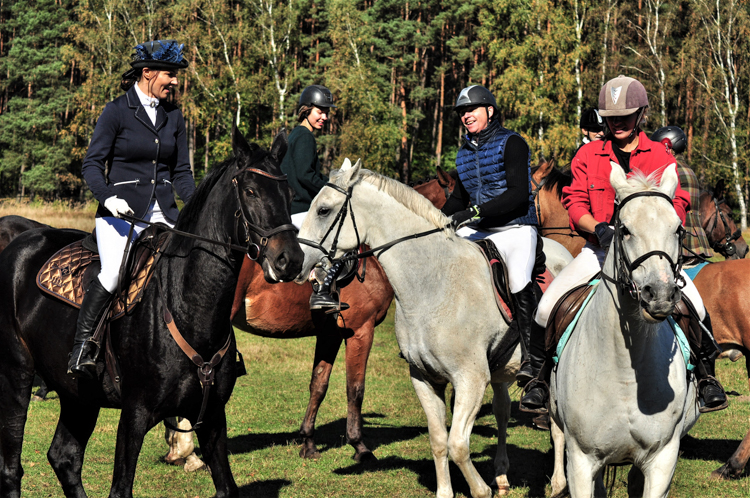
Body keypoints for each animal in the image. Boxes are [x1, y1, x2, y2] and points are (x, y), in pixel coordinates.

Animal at [0, 129, 306, 498]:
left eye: (289, 194)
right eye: (250, 191)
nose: (290, 260)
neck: (187, 307)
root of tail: (18, 244)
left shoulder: (213, 417)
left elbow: (226, 487)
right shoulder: (134, 416)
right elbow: (121, 489)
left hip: (79, 394)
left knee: (64, 457)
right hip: (16, 374)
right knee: (12, 467)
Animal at [298, 160, 560, 498]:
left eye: (324, 210)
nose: (297, 261)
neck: (432, 283)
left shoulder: (470, 380)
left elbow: (458, 445)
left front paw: (480, 490)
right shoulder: (424, 378)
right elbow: (439, 441)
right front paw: (448, 491)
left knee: (558, 425)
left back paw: (559, 482)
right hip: (502, 371)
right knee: (503, 411)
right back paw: (502, 476)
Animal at [548, 164, 704, 498]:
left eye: (678, 229)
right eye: (625, 230)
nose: (660, 294)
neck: (625, 373)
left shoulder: (662, 460)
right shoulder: (581, 461)